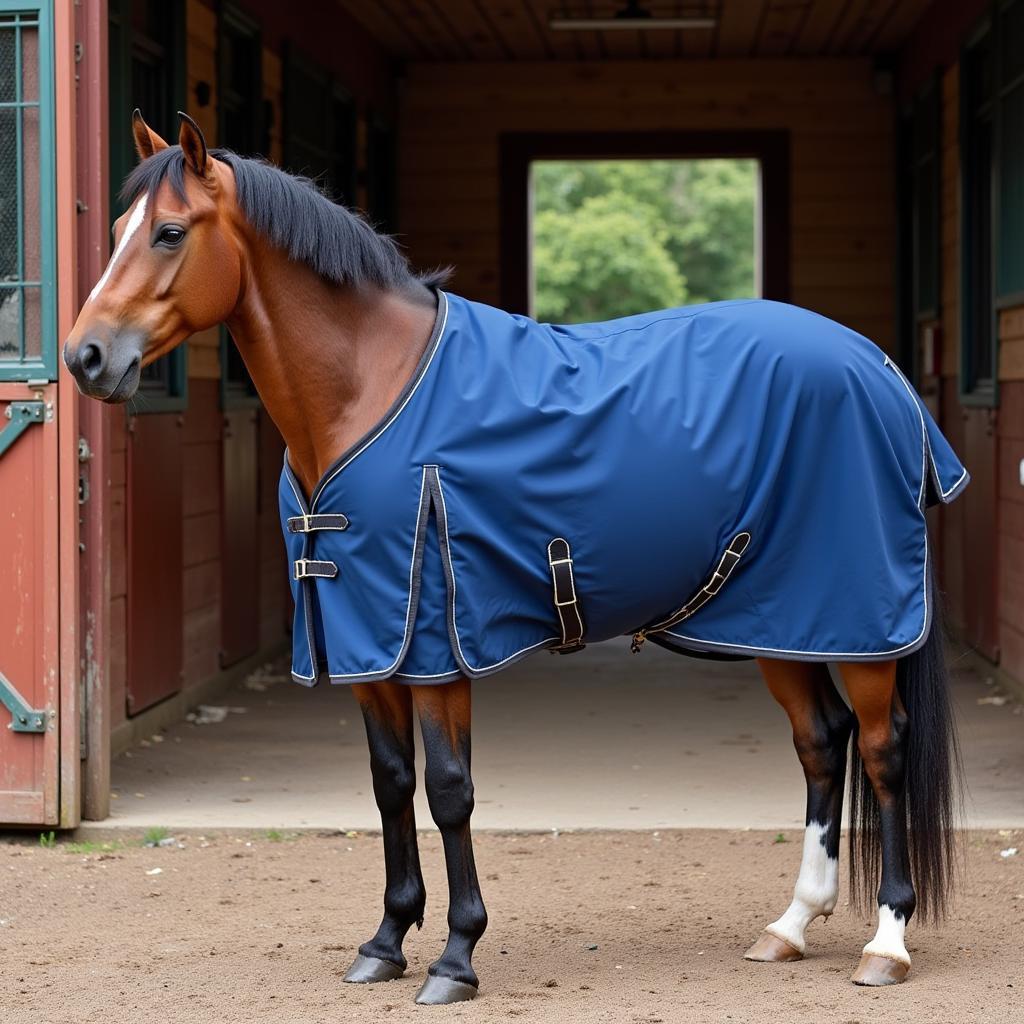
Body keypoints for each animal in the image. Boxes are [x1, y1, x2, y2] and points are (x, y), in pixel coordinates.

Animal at [61, 112, 958, 1007]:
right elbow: (392, 782)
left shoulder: (434, 646)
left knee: (882, 751)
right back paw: (791, 926)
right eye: (116, 230)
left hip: (857, 624)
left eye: (170, 232)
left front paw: (456, 957)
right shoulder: (370, 649)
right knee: (822, 742)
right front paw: (386, 942)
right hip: (785, 622)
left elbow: (449, 790)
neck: (366, 389)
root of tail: (881, 371)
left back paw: (886, 942)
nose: (85, 357)